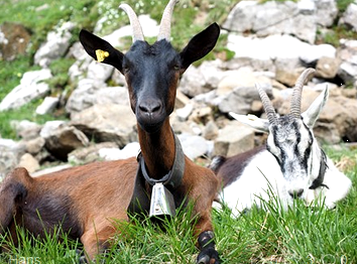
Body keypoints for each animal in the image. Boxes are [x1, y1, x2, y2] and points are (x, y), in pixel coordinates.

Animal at [0, 1, 221, 262]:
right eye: (126, 67)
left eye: (176, 65)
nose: (149, 110)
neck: (163, 183)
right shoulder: (101, 228)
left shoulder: (203, 214)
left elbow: (208, 242)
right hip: (12, 184)